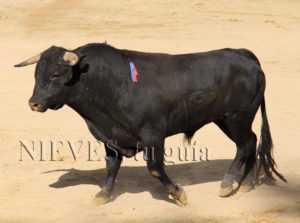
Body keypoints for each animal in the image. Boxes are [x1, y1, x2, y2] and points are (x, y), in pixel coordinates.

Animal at [14, 43, 286, 206]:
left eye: (55, 75)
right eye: (36, 74)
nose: (33, 103)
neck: (113, 85)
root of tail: (244, 55)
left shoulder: (153, 135)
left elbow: (155, 168)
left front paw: (179, 194)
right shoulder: (112, 136)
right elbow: (111, 166)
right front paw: (103, 195)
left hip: (237, 117)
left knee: (245, 144)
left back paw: (227, 184)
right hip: (226, 119)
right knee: (251, 142)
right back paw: (246, 184)